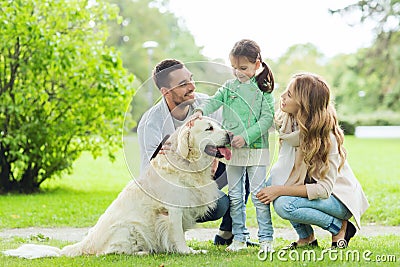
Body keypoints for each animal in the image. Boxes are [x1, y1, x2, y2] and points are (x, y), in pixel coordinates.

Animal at [3, 118, 233, 260]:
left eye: (219, 126)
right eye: (209, 129)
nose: (230, 134)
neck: (188, 164)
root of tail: (85, 244)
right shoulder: (173, 210)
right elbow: (177, 234)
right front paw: (187, 251)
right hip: (127, 229)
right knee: (107, 253)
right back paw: (142, 252)